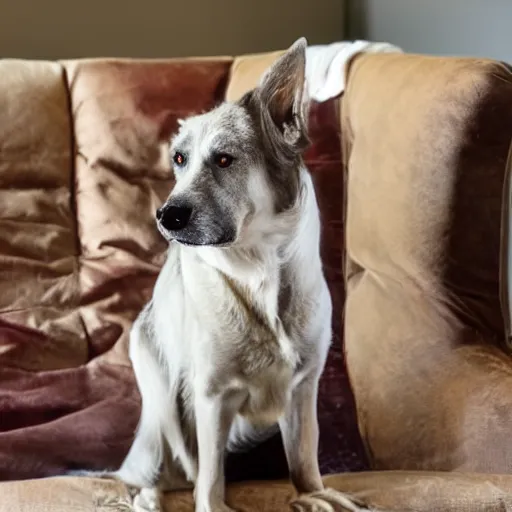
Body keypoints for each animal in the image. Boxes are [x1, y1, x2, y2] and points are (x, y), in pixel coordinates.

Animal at [80, 39, 370, 512]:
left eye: (223, 159)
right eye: (179, 159)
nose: (166, 216)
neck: (259, 273)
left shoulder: (303, 388)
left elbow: (304, 460)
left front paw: (317, 496)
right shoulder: (212, 395)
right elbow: (209, 475)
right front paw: (211, 503)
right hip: (159, 394)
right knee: (152, 472)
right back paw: (146, 495)